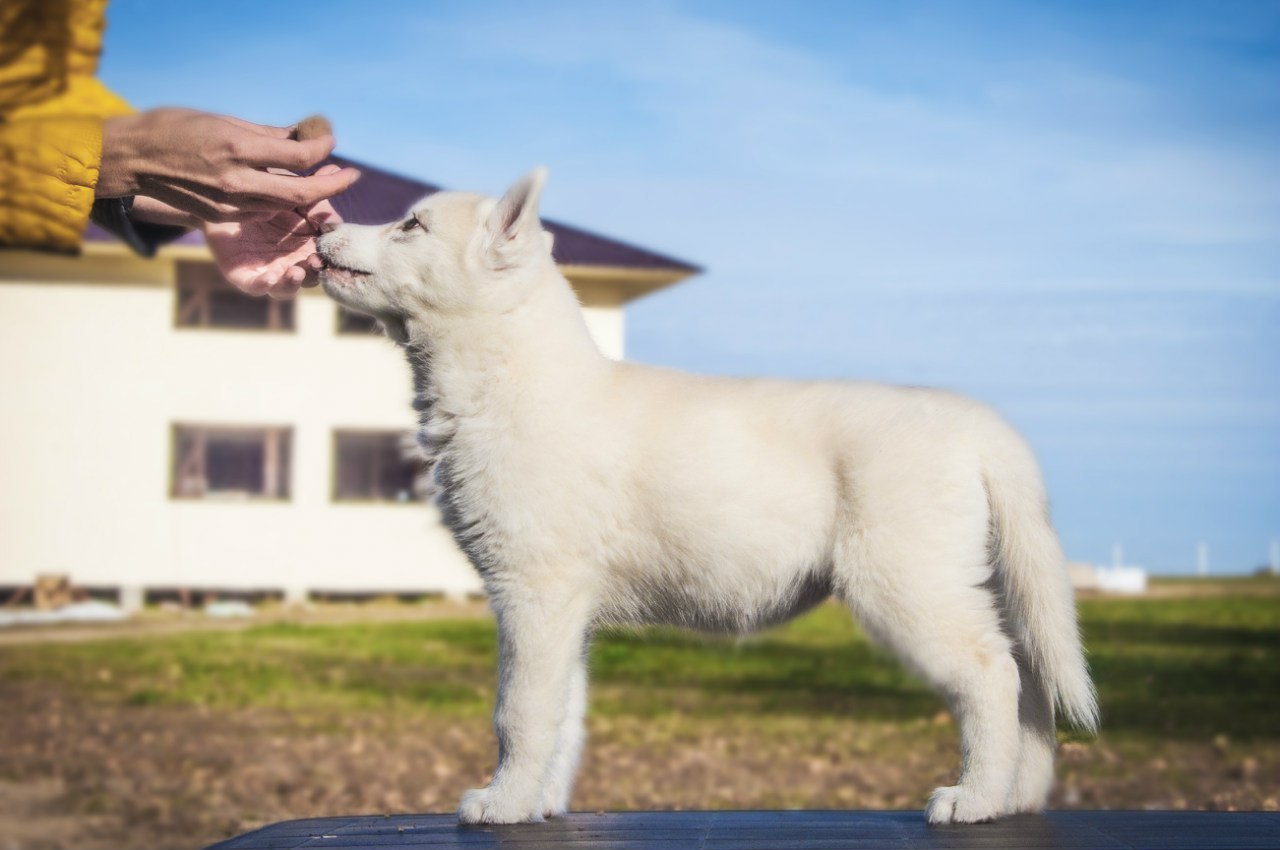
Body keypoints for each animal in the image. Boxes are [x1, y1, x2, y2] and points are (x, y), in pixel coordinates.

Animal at [314, 168, 1095, 824]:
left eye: (411, 225)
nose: (321, 226)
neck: (510, 378)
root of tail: (980, 425)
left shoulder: (533, 590)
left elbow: (520, 712)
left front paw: (502, 804)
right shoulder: (565, 611)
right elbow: (563, 713)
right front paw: (540, 804)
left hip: (908, 585)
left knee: (993, 673)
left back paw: (975, 798)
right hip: (973, 578)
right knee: (1029, 680)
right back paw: (1018, 796)